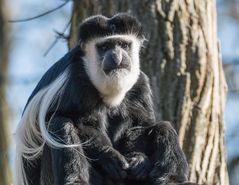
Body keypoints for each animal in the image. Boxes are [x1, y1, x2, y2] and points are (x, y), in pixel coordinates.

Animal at [15, 13, 190, 185]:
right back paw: (76, 180)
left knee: (164, 128)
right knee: (59, 124)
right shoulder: (73, 84)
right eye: (105, 47)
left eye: (123, 45)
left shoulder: (140, 85)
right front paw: (110, 156)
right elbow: (80, 123)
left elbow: (139, 126)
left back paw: (171, 178)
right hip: (50, 178)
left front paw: (140, 160)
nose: (116, 55)